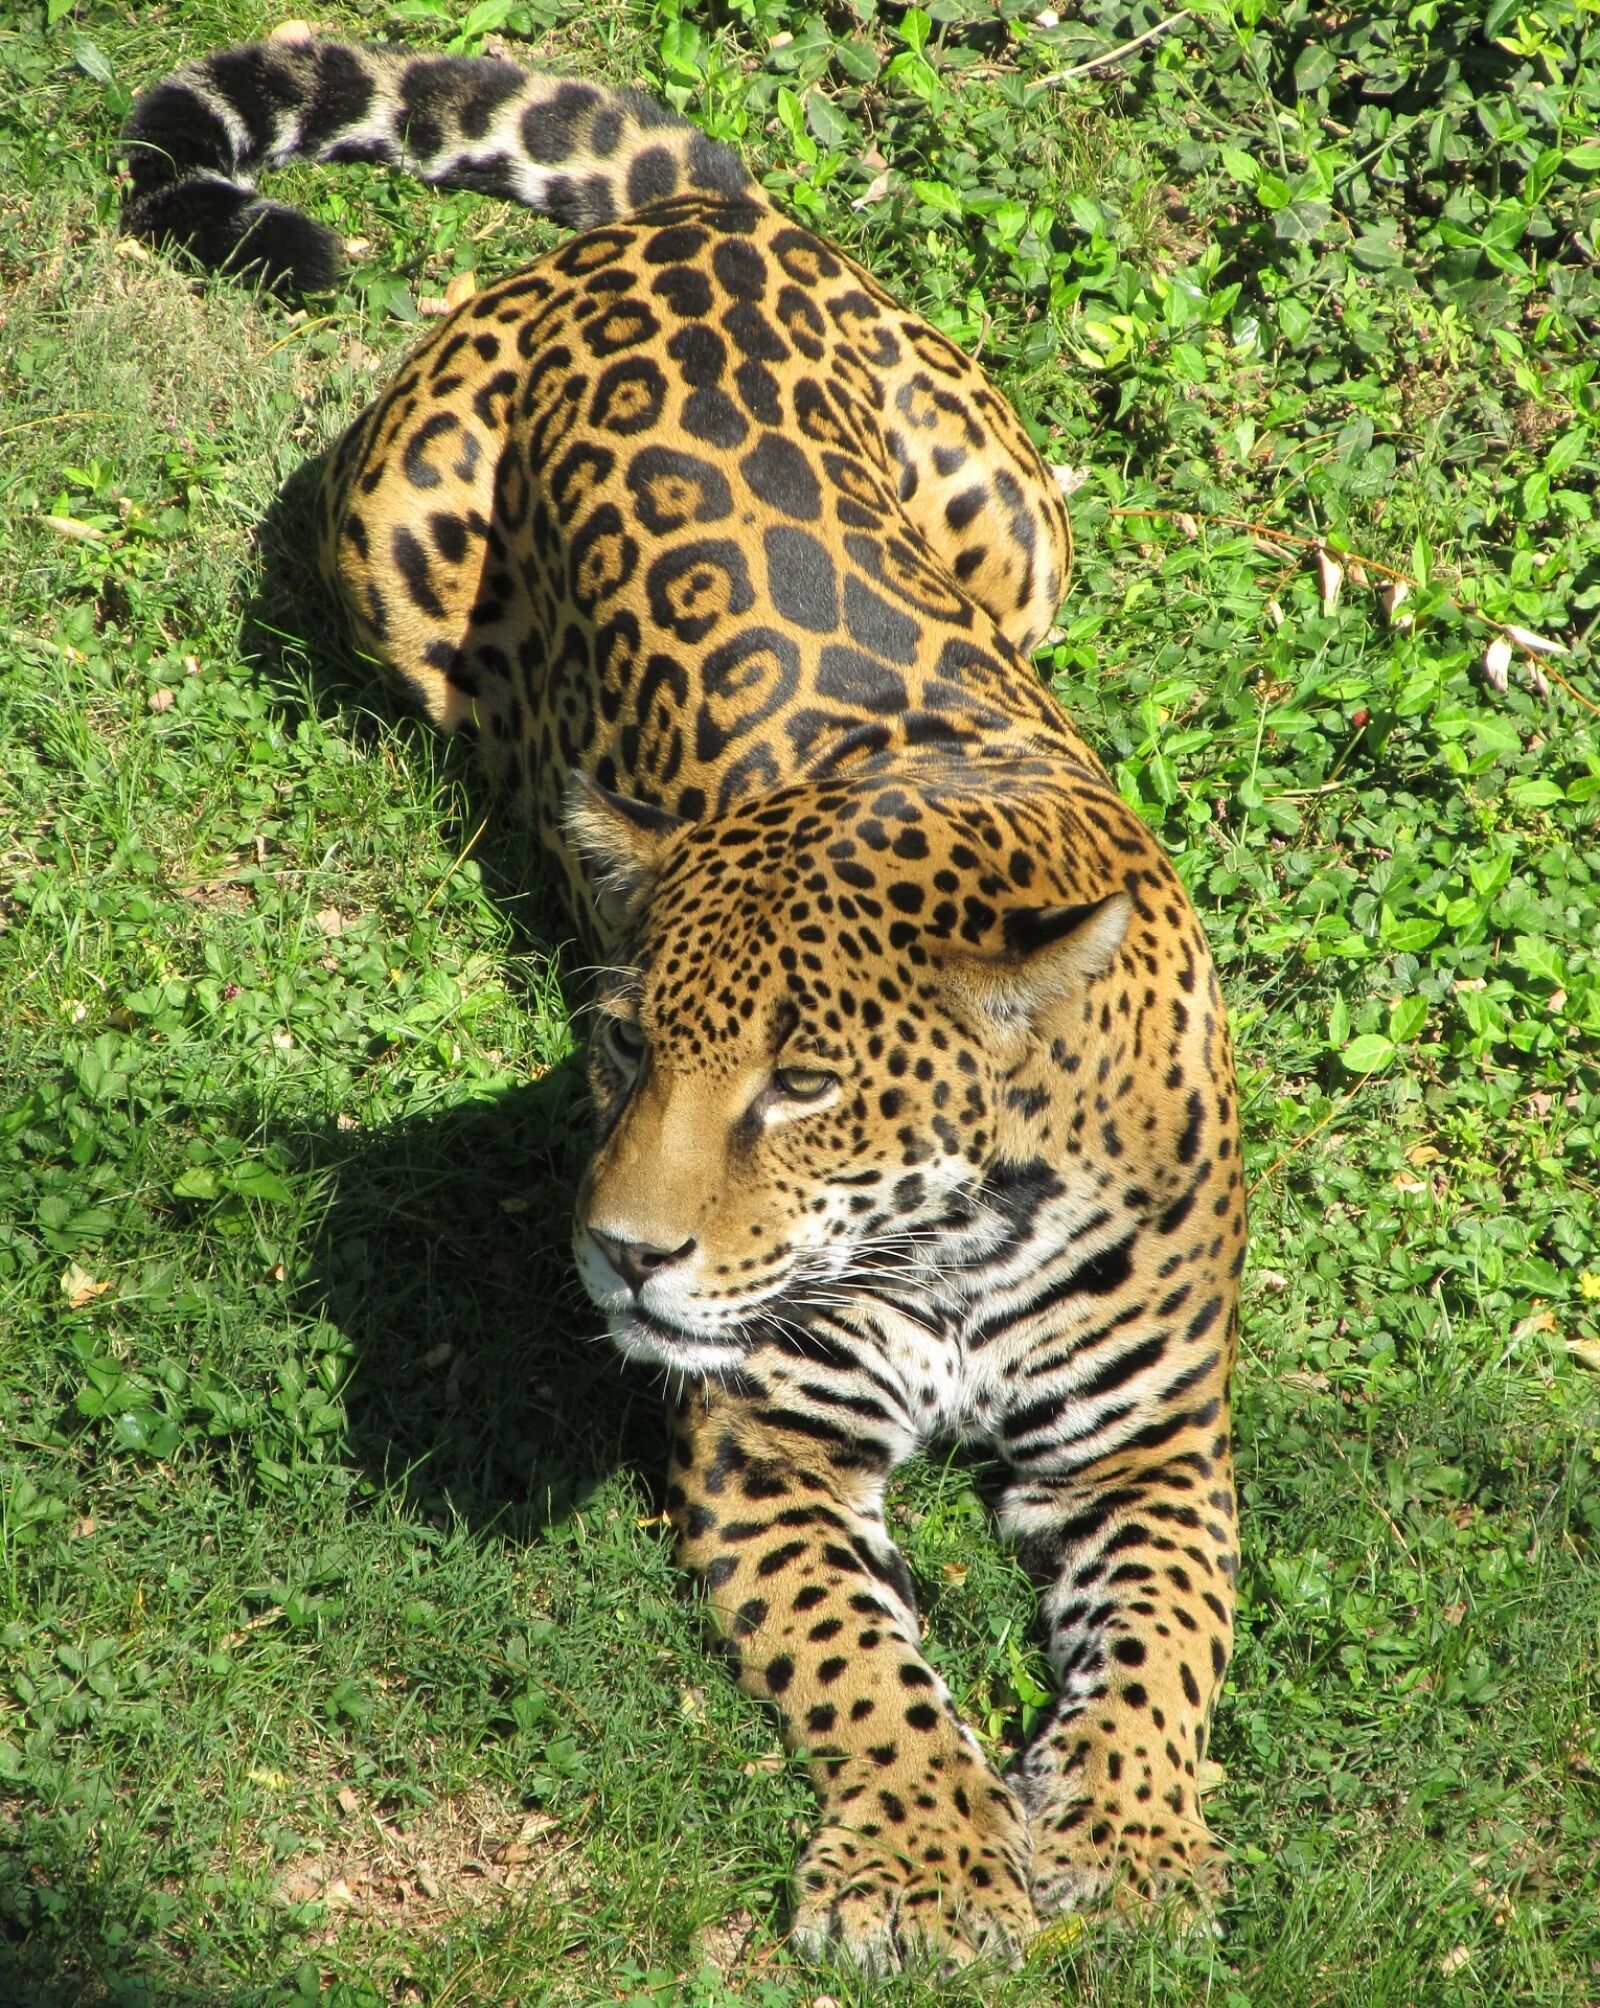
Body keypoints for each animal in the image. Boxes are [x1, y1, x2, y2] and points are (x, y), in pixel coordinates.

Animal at [122, 30, 1244, 1972]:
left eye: (802, 1084)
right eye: (628, 1045)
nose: (617, 1257)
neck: (964, 1241)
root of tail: (700, 216)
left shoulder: (1155, 1444)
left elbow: (1167, 1640)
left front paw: (1126, 1833)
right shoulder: (768, 1436)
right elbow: (868, 1666)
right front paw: (929, 1863)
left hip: (1024, 531)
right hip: (390, 538)